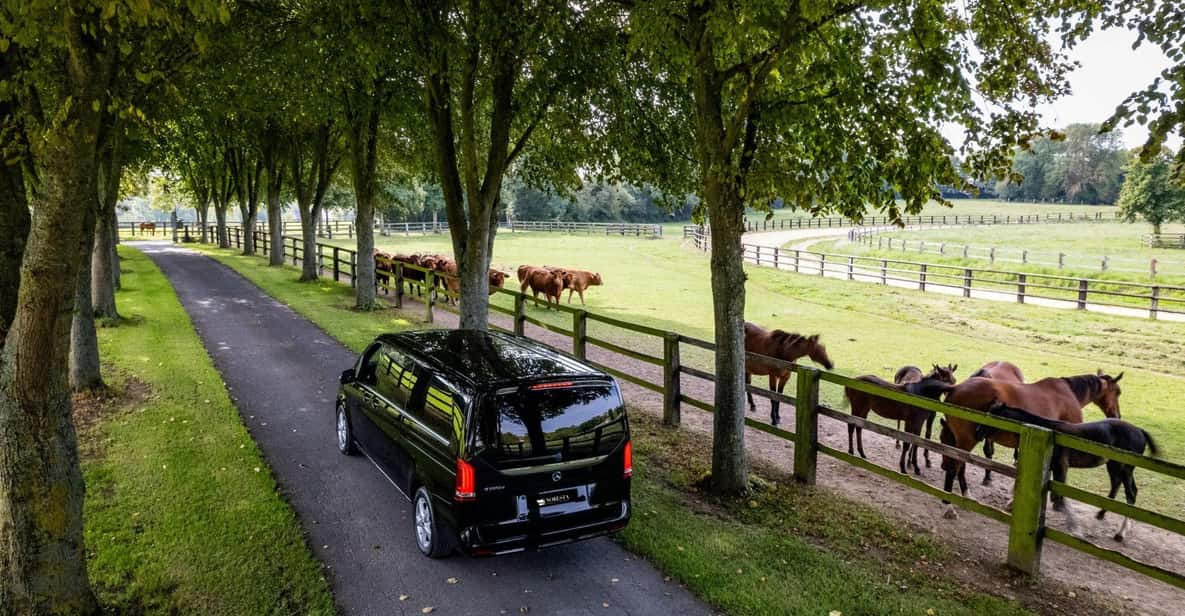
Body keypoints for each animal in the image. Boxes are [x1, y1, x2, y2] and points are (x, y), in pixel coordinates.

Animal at [938, 369, 1123, 514]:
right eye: (1118, 392)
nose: (1117, 415)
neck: (1069, 393)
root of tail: (956, 388)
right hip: (966, 440)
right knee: (955, 467)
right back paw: (948, 505)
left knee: (959, 466)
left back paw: (965, 496)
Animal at [981, 402, 1156, 542]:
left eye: (993, 416)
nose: (978, 429)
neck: (1050, 433)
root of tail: (1139, 431)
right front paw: (1011, 504)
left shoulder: (1061, 467)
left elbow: (1060, 498)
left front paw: (1074, 527)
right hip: (1114, 466)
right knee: (1118, 486)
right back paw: (1101, 515)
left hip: (1124, 468)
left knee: (1130, 494)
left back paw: (1120, 533)